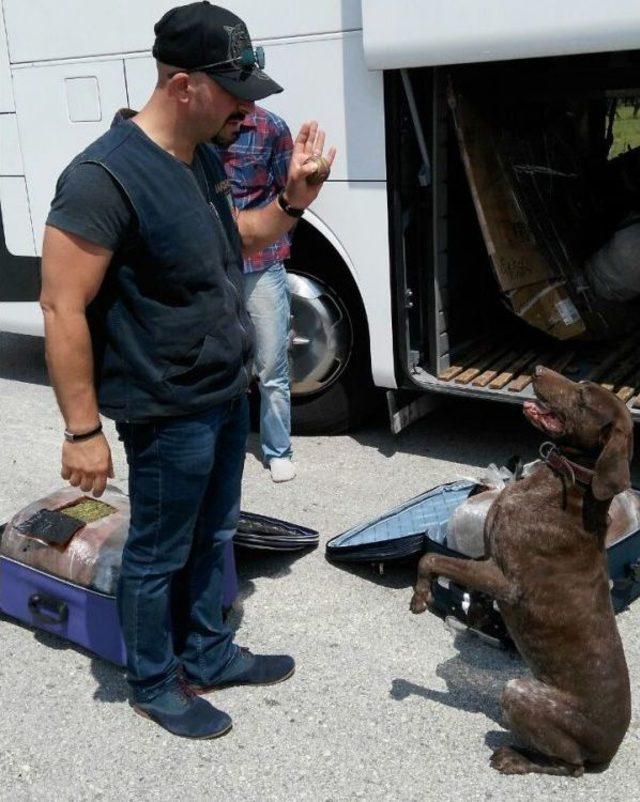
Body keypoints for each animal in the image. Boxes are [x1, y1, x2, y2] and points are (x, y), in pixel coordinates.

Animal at [412, 368, 632, 776]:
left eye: (583, 397)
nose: (539, 370)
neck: (566, 485)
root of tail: (608, 751)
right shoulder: (486, 560)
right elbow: (463, 582)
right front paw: (476, 613)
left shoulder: (505, 579)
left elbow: (430, 559)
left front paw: (420, 596)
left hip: (518, 692)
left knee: (570, 765)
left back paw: (515, 757)